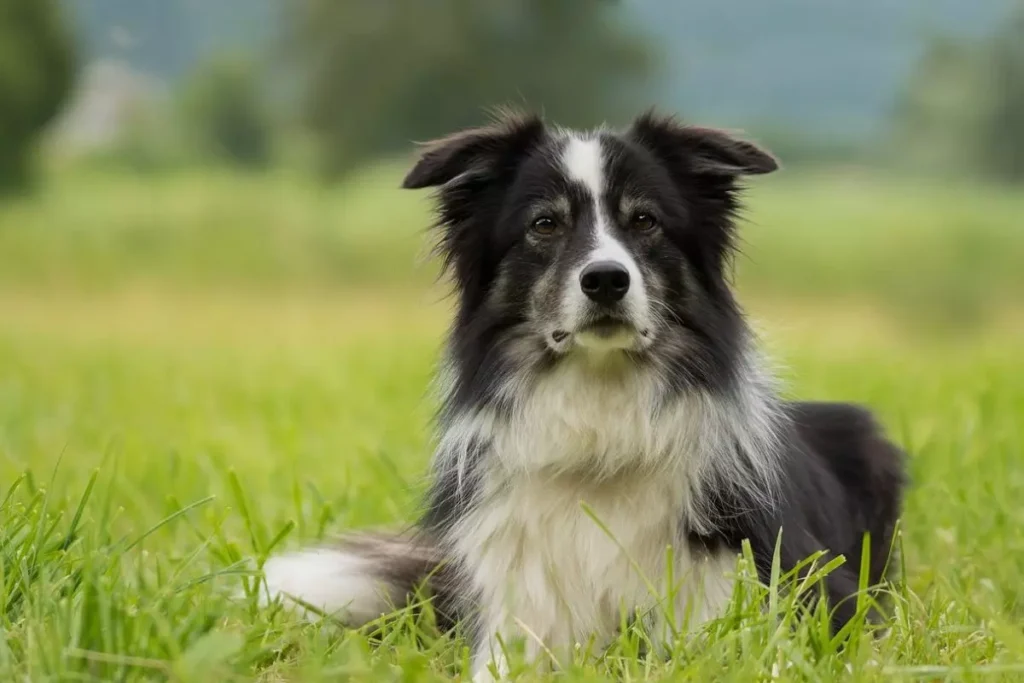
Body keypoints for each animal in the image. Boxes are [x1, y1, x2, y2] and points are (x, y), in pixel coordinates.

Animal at [260, 111, 909, 679]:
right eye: (545, 224)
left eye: (645, 221)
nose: (605, 280)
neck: (601, 428)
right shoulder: (518, 618)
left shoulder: (769, 597)